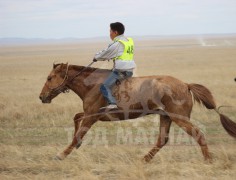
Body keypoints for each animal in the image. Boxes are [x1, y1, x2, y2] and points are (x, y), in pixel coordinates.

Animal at [39, 63, 236, 162]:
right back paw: (144, 159)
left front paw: (61, 155)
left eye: (49, 77)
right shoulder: (91, 114)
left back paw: (208, 160)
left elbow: (77, 133)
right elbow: (76, 119)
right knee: (162, 140)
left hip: (178, 118)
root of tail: (186, 85)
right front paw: (77, 145)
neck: (92, 84)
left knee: (198, 134)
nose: (42, 97)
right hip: (165, 117)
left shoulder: (93, 116)